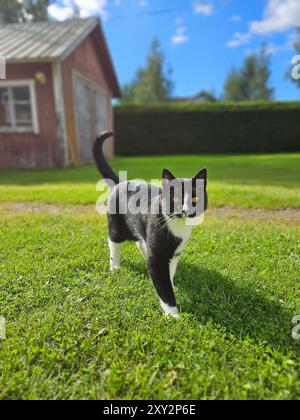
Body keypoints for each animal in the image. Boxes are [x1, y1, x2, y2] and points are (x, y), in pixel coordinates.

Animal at [92, 131, 207, 318]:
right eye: (175, 198)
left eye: (195, 199)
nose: (185, 211)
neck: (177, 224)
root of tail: (120, 182)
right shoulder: (158, 257)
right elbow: (163, 284)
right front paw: (173, 314)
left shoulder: (174, 252)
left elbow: (170, 270)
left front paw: (173, 284)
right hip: (116, 226)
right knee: (114, 243)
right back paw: (115, 267)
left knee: (141, 242)